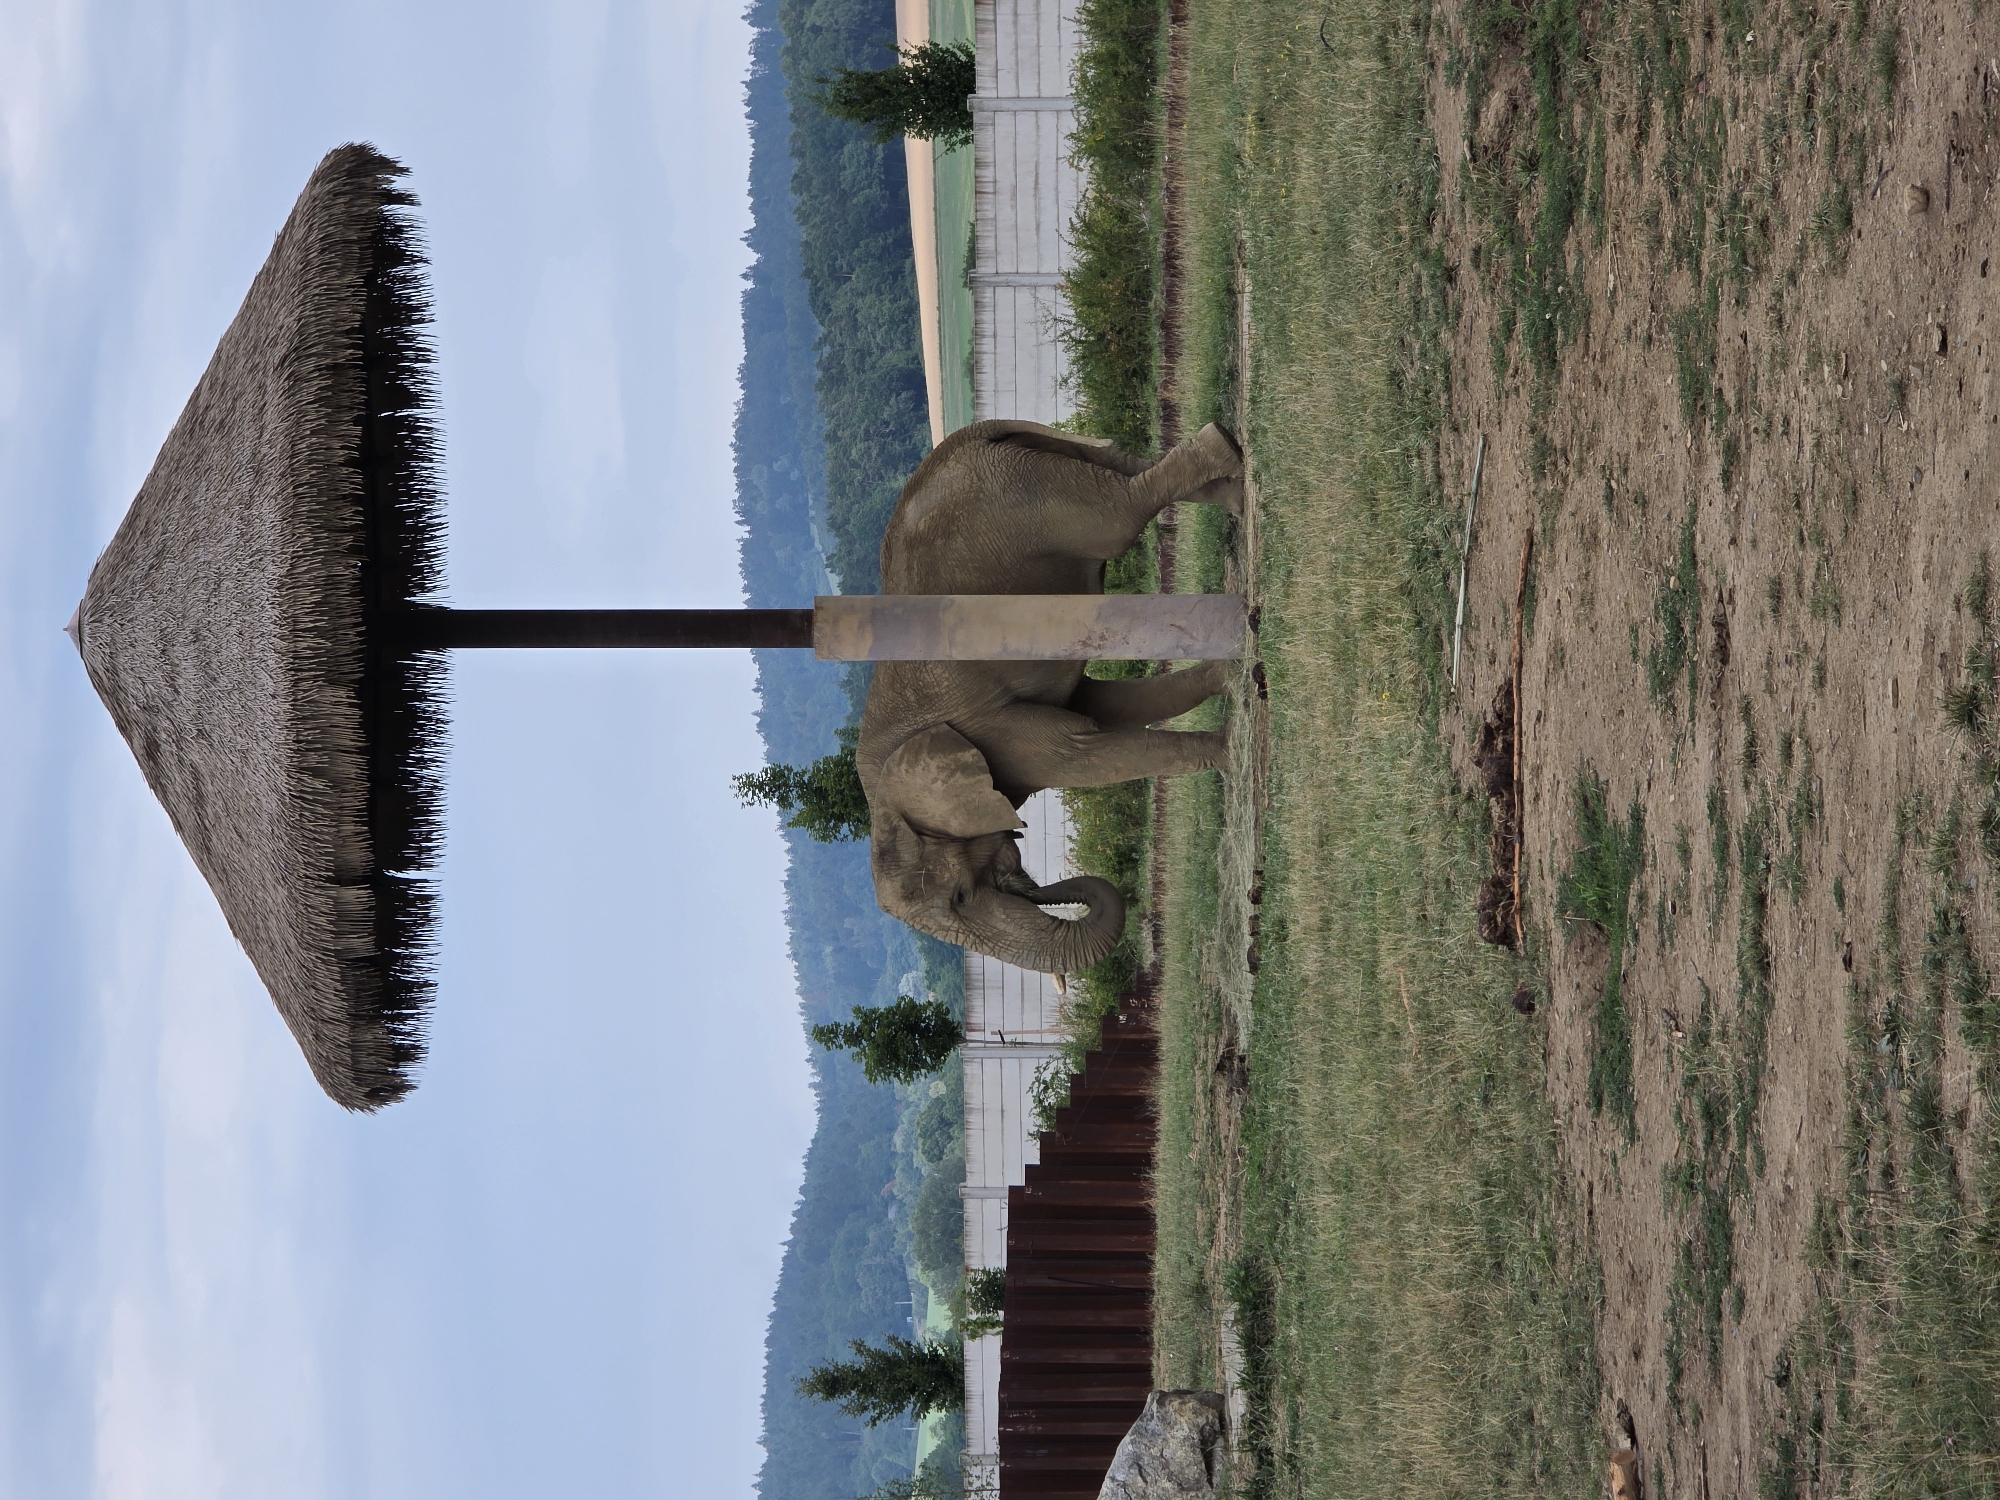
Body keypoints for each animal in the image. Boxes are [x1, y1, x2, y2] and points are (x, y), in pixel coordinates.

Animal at [858, 418, 1247, 976]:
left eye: (959, 896)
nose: (1022, 863)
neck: (880, 797)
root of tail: (970, 436)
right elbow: (1107, 709)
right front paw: (1229, 674)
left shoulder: (995, 733)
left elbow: (1079, 752)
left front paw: (1235, 746)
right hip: (1033, 475)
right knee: (1123, 468)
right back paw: (1238, 490)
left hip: (1019, 497)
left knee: (1122, 512)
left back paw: (1225, 450)